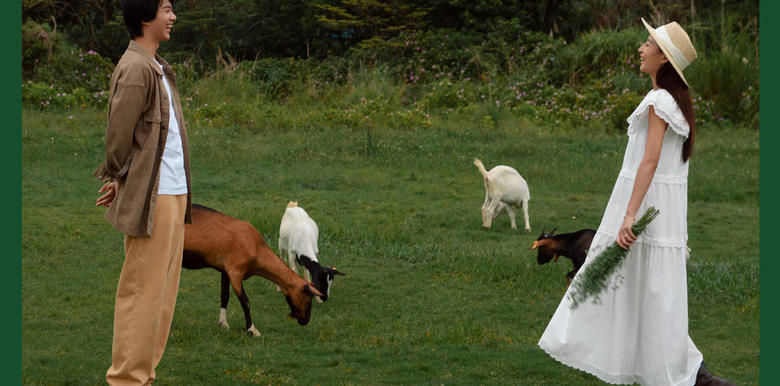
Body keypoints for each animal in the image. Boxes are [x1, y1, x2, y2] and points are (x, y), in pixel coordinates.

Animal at [184, 205, 322, 334]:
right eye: (307, 297)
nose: (305, 320)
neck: (256, 247)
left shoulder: (225, 270)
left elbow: (225, 296)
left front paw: (223, 324)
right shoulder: (235, 273)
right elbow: (245, 302)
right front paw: (251, 329)